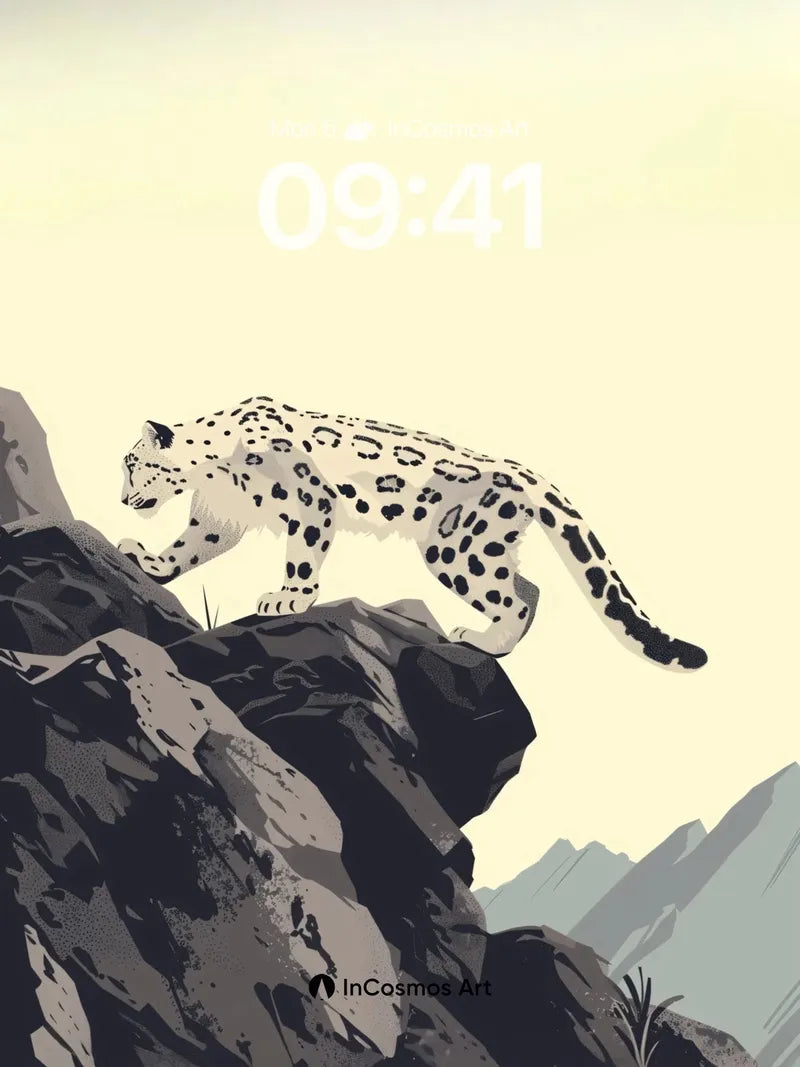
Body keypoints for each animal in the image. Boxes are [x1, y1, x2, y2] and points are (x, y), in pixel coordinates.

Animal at [118, 396, 707, 670]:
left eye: (130, 464)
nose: (123, 500)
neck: (217, 474)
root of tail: (520, 470)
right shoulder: (216, 518)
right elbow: (188, 548)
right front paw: (147, 560)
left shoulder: (311, 500)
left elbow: (302, 554)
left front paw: (287, 598)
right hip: (475, 547)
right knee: (530, 587)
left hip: (458, 550)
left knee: (515, 598)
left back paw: (484, 641)